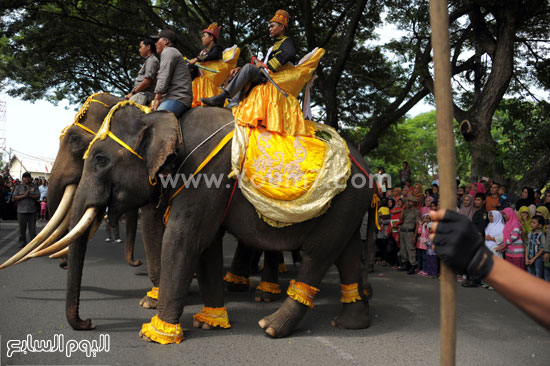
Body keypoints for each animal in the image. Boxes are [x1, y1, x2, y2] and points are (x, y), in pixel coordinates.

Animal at [61, 103, 380, 344]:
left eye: (100, 159)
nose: (89, 323)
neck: (164, 118)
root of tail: (370, 172)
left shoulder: (204, 175)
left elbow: (184, 240)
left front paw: (156, 334)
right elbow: (206, 245)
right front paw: (208, 323)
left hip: (344, 200)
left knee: (319, 254)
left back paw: (271, 326)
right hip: (348, 205)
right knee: (347, 252)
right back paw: (350, 323)